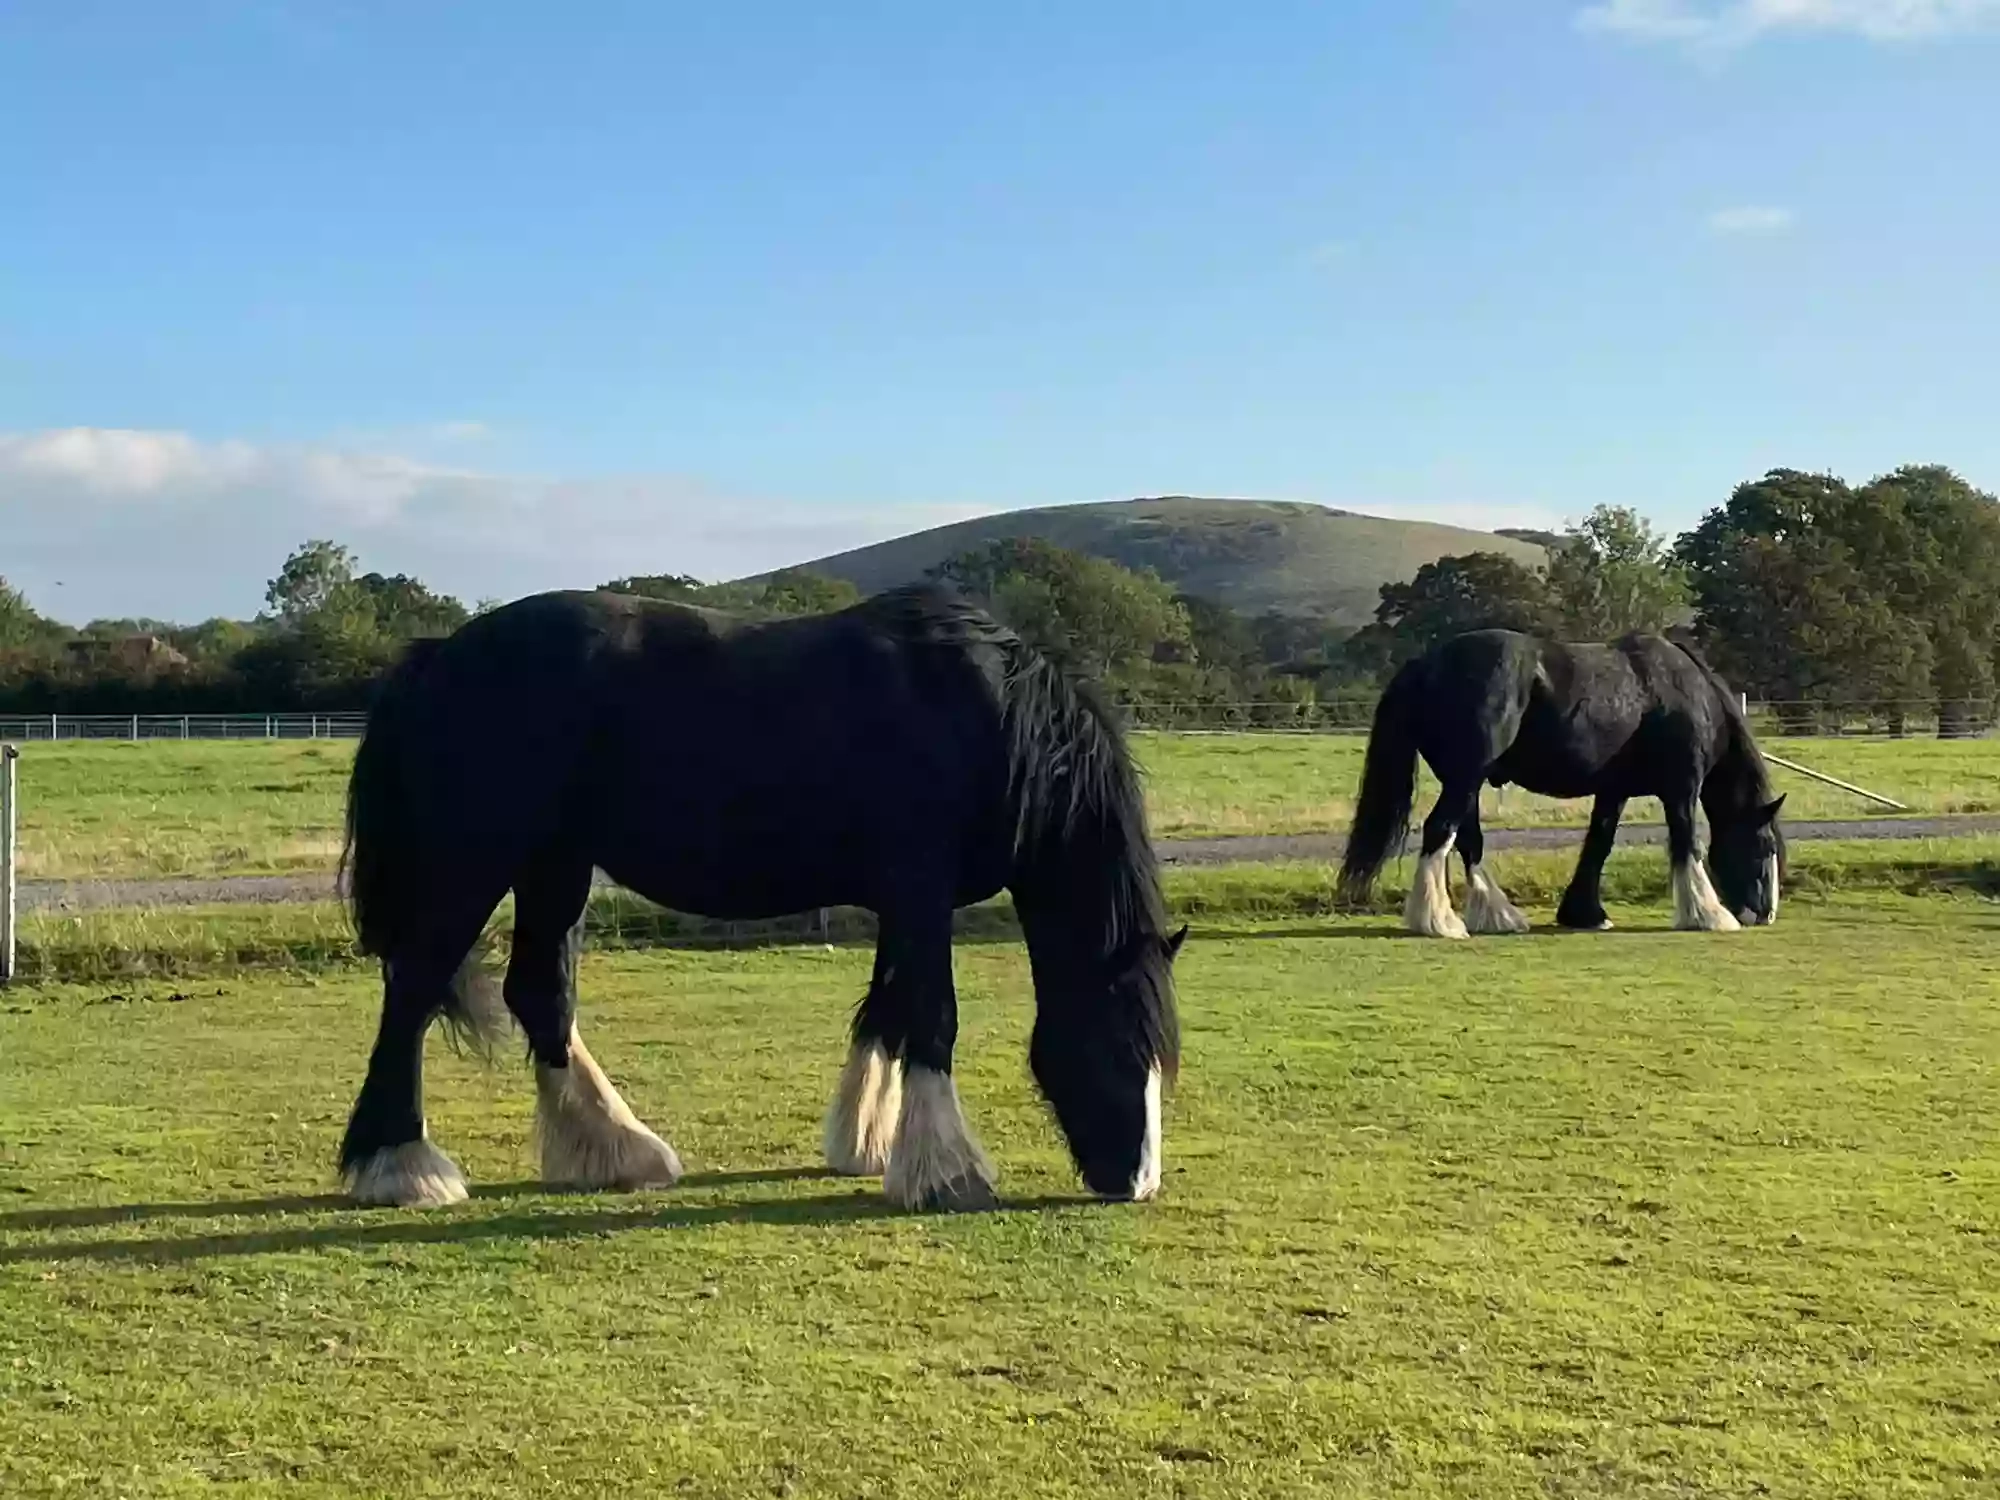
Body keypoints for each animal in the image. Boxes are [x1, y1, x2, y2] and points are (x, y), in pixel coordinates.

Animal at [336, 580, 1176, 1216]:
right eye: (1120, 1042)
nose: (1134, 1183)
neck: (985, 715)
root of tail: (439, 654)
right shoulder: (920, 887)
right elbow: (933, 1016)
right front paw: (948, 1173)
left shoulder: (899, 899)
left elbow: (887, 1010)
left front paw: (866, 1142)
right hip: (474, 865)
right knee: (413, 993)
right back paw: (402, 1166)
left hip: (556, 866)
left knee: (539, 994)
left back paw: (618, 1151)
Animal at [1336, 632, 1792, 940]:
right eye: (1765, 846)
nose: (1765, 913)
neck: (1681, 691)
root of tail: (1423, 665)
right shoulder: (1682, 789)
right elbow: (1686, 843)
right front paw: (1708, 914)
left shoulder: (1614, 791)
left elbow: (1598, 843)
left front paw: (1585, 913)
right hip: (1466, 777)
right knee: (1440, 832)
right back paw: (1440, 922)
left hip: (1465, 782)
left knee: (1468, 841)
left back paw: (1497, 917)